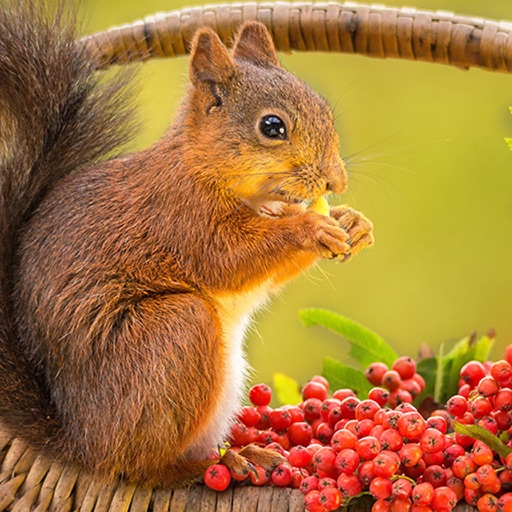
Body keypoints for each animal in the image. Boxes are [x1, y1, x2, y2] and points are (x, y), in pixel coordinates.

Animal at [0, 0, 372, 488]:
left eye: (325, 111)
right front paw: (309, 227)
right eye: (272, 126)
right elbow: (228, 260)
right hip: (174, 335)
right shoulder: (182, 219)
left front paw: (353, 222)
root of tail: (82, 443)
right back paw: (218, 463)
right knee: (140, 466)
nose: (336, 181)